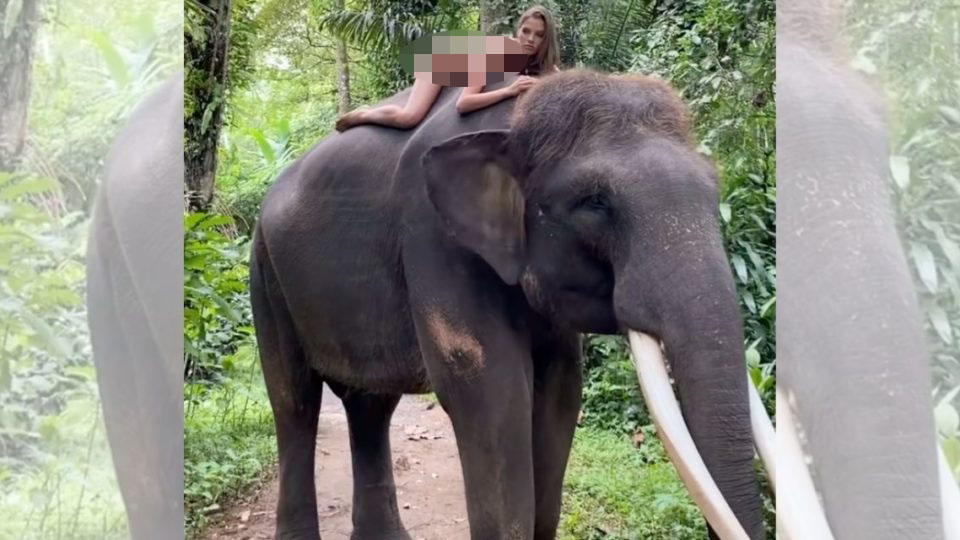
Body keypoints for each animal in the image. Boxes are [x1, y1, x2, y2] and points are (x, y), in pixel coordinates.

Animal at [251, 67, 768, 540]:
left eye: (715, 190)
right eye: (595, 204)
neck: (512, 121)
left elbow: (560, 389)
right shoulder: (432, 233)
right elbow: (491, 390)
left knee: (370, 403)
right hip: (264, 271)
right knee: (294, 400)